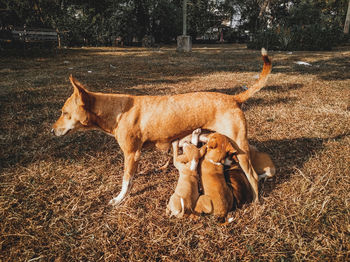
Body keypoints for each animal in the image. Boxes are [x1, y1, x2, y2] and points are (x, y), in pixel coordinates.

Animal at [50, 48, 272, 206]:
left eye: (65, 113)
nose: (52, 130)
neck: (117, 110)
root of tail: (234, 98)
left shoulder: (131, 154)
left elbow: (126, 180)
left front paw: (119, 199)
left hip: (241, 148)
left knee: (253, 177)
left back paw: (256, 202)